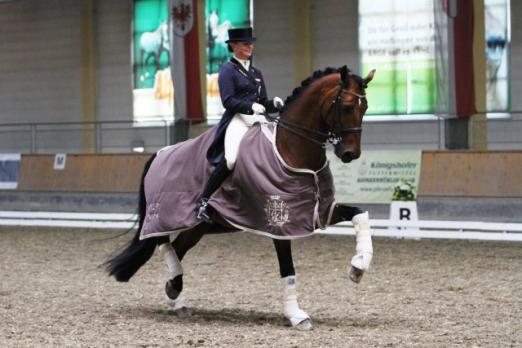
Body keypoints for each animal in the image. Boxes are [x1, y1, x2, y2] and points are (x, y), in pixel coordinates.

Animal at [104, 66, 374, 330]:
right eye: (347, 105)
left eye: (365, 107)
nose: (350, 154)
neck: (290, 150)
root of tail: (158, 154)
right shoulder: (279, 222)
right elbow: (288, 268)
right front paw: (296, 316)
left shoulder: (321, 211)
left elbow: (360, 214)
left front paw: (358, 266)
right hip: (163, 215)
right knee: (164, 244)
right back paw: (175, 286)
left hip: (197, 228)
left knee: (177, 248)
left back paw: (175, 296)